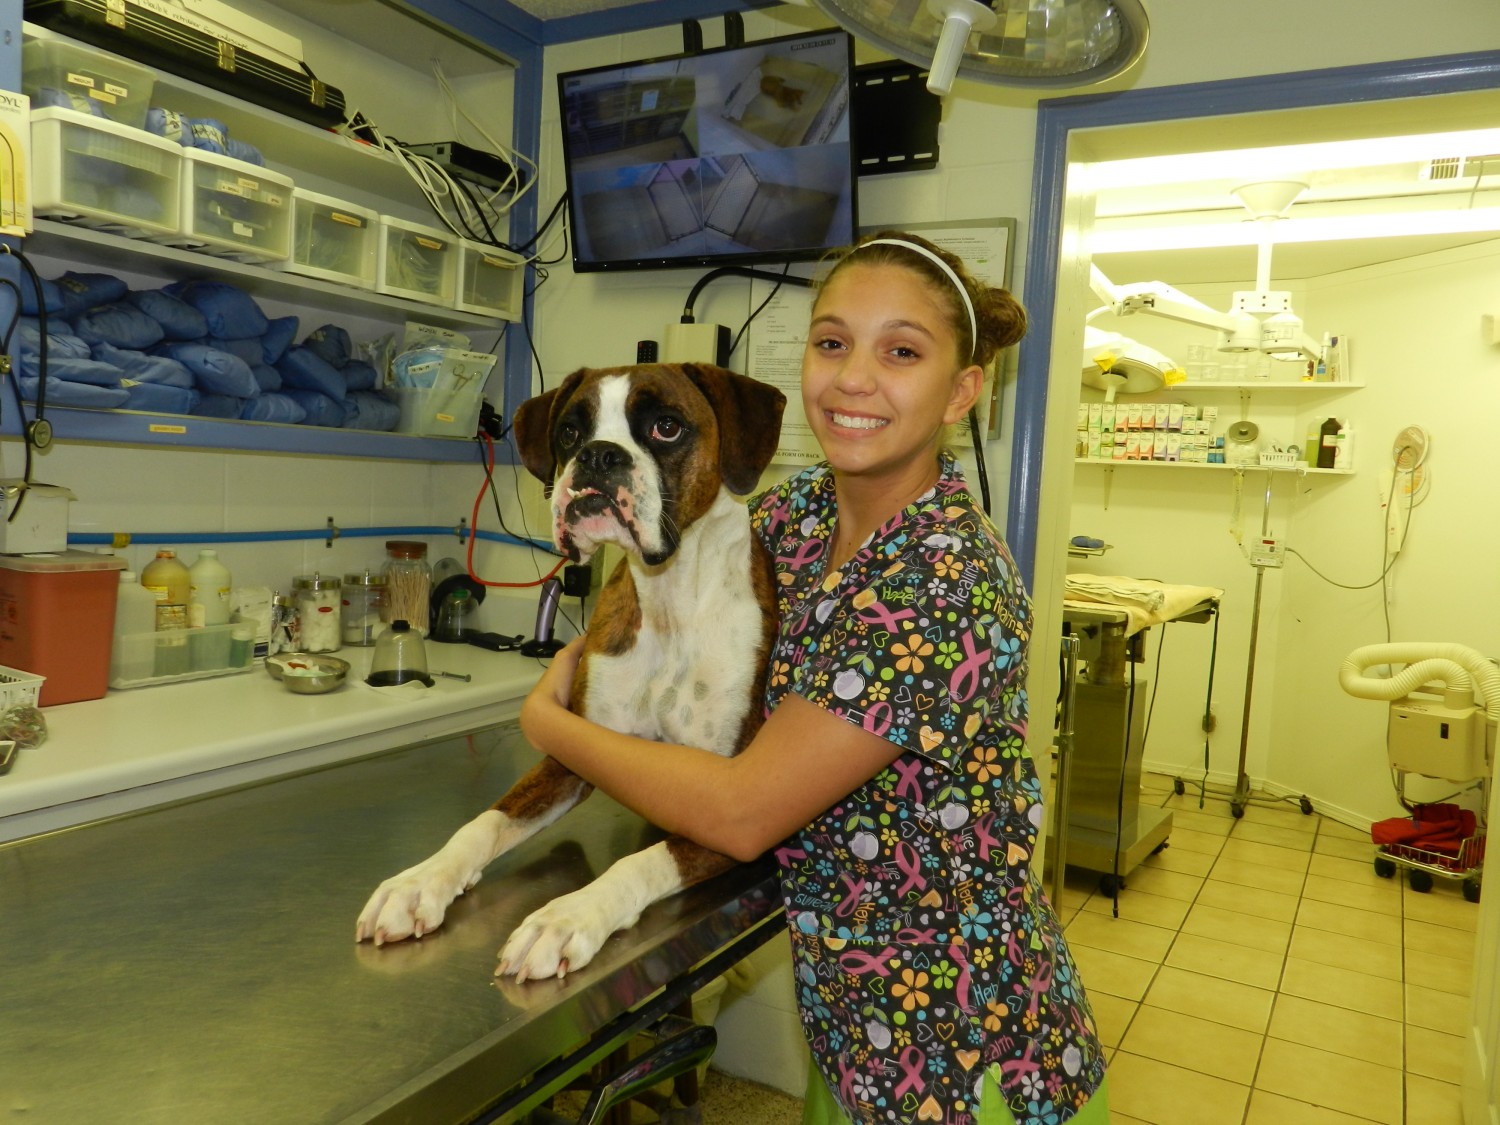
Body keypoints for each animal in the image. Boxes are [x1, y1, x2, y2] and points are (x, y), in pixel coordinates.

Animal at [354, 366, 786, 984]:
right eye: (569, 432)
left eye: (667, 426)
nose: (599, 455)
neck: (670, 605)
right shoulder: (572, 754)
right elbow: (482, 823)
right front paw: (419, 883)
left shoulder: (734, 818)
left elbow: (641, 863)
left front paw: (566, 918)